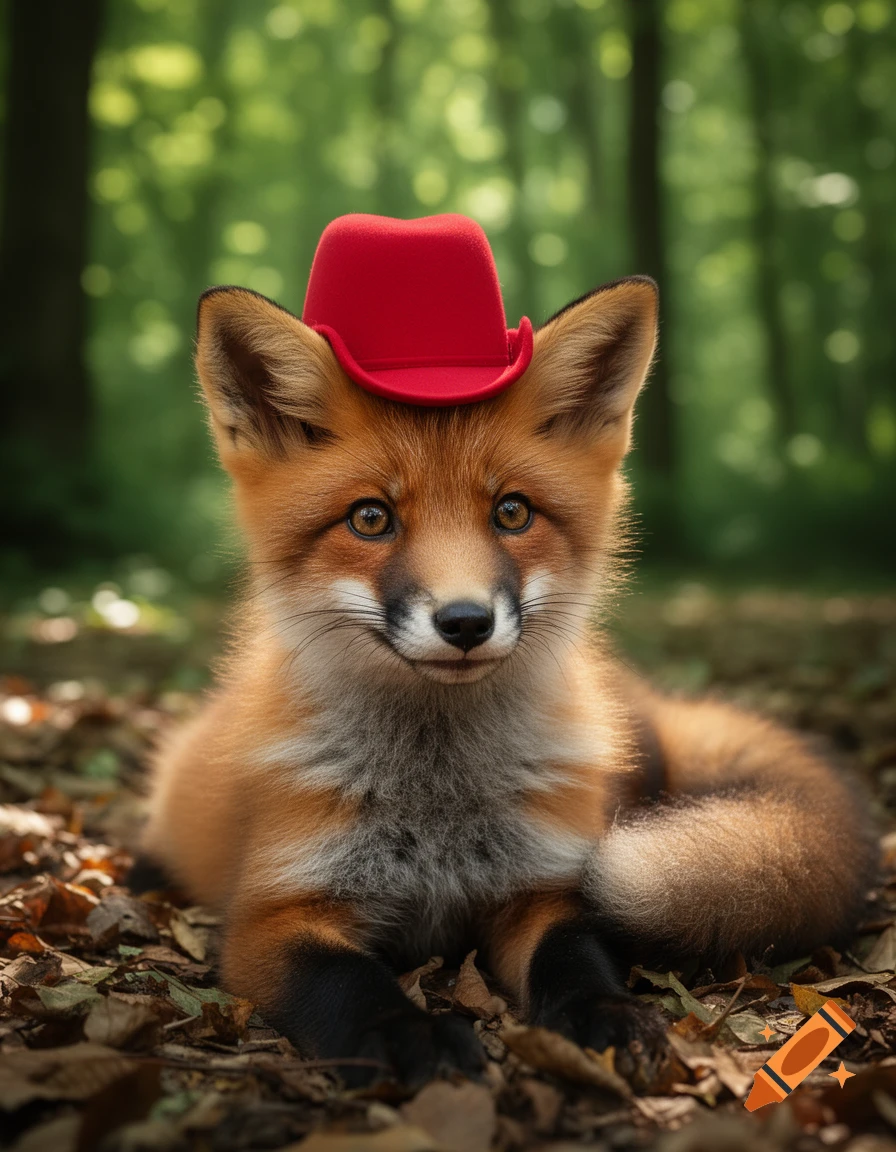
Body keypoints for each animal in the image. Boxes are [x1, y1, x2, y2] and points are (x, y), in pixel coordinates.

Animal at [135, 272, 876, 1086]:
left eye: (513, 512)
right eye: (371, 519)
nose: (465, 622)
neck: (437, 802)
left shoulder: (541, 889)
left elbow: (574, 958)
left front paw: (607, 1016)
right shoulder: (272, 917)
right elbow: (345, 982)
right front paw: (409, 1035)